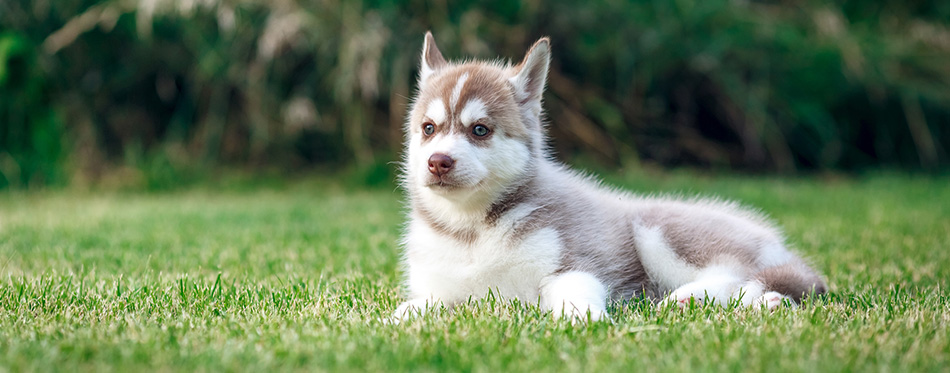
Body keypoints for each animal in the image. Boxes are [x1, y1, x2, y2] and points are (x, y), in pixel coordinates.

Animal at [394, 32, 824, 320]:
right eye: (428, 129)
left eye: (480, 130)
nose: (438, 162)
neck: (470, 231)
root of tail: (773, 238)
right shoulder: (441, 290)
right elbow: (410, 308)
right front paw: (392, 324)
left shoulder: (575, 263)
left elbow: (576, 291)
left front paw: (582, 321)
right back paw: (764, 302)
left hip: (657, 229)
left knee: (740, 272)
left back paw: (694, 297)